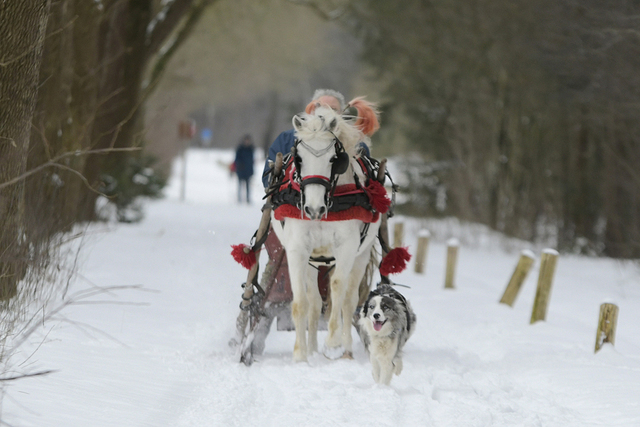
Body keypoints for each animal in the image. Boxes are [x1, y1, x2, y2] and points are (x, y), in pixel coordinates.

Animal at [270, 107, 380, 362]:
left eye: (333, 159)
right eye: (299, 158)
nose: (313, 209)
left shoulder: (347, 248)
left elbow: (338, 289)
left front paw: (332, 342)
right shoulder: (298, 250)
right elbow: (301, 302)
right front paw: (300, 353)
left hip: (361, 255)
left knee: (348, 301)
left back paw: (345, 349)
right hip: (315, 261)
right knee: (314, 301)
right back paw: (312, 348)